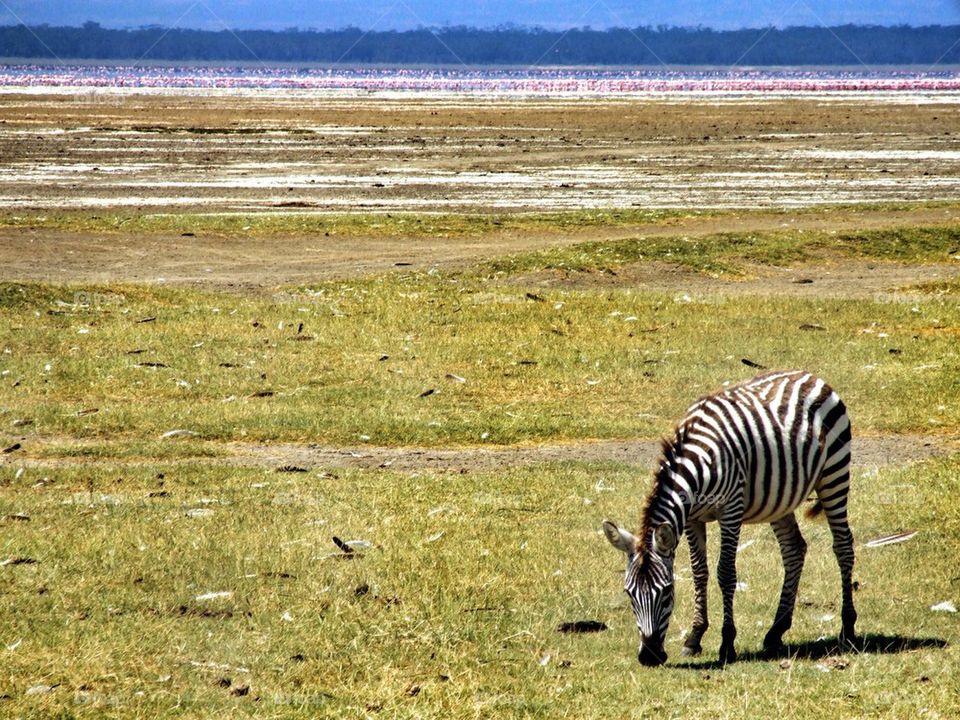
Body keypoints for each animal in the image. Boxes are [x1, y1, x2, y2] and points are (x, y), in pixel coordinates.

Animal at [602, 370, 857, 666]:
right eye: (628, 593)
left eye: (667, 592)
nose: (650, 656)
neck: (698, 464)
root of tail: (810, 375)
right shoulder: (692, 518)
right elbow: (699, 572)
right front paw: (694, 637)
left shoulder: (731, 510)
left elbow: (725, 572)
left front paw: (727, 643)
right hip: (779, 499)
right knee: (794, 549)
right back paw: (776, 631)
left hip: (834, 474)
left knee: (843, 545)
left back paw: (848, 628)